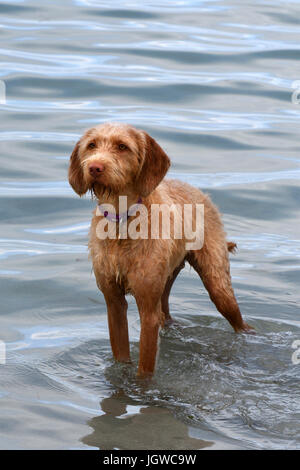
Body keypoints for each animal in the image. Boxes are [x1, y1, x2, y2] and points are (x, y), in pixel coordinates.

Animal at [68, 122, 253, 378]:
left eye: (122, 146)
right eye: (91, 145)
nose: (95, 167)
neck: (123, 223)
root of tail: (202, 194)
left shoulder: (148, 312)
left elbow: (145, 368)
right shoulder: (113, 303)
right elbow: (121, 355)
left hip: (219, 288)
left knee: (238, 320)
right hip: (166, 282)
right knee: (166, 312)